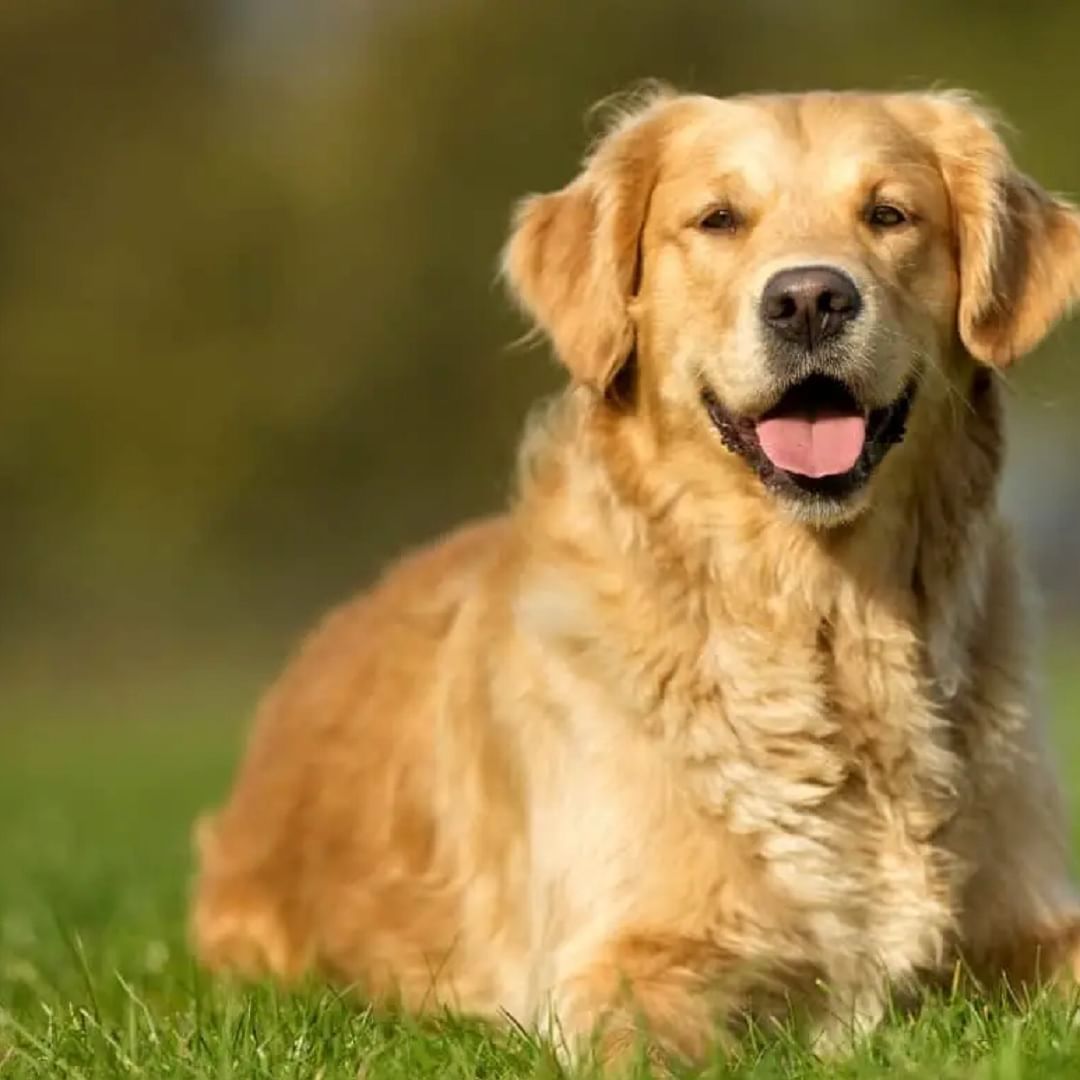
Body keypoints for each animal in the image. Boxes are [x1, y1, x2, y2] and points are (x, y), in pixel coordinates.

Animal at [190, 88, 1080, 1067]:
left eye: (889, 215)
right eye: (718, 219)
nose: (811, 299)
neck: (820, 618)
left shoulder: (1033, 921)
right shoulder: (622, 959)